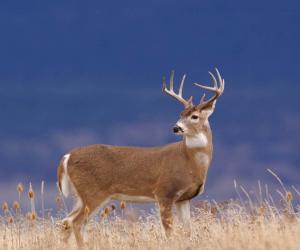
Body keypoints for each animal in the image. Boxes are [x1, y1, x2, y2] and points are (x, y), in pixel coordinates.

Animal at [56, 67, 225, 247]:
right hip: (93, 193)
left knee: (66, 222)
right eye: (180, 114)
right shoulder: (164, 192)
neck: (190, 163)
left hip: (82, 196)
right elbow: (169, 232)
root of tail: (67, 157)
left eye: (194, 116)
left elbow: (188, 231)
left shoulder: (184, 199)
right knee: (76, 222)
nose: (176, 128)